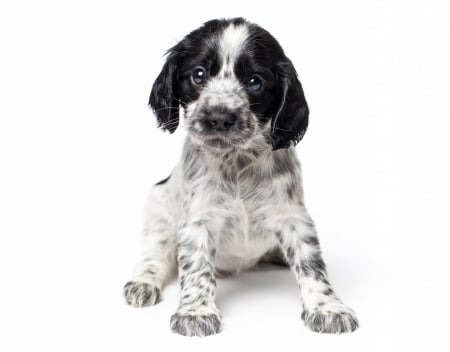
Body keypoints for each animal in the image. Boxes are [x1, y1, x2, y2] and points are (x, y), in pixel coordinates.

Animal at [124, 17, 358, 336]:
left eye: (255, 82)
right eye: (198, 75)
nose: (220, 118)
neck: (237, 162)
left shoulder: (293, 217)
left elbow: (312, 265)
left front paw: (328, 308)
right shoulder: (198, 221)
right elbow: (196, 268)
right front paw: (196, 312)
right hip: (157, 209)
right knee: (153, 255)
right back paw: (143, 283)